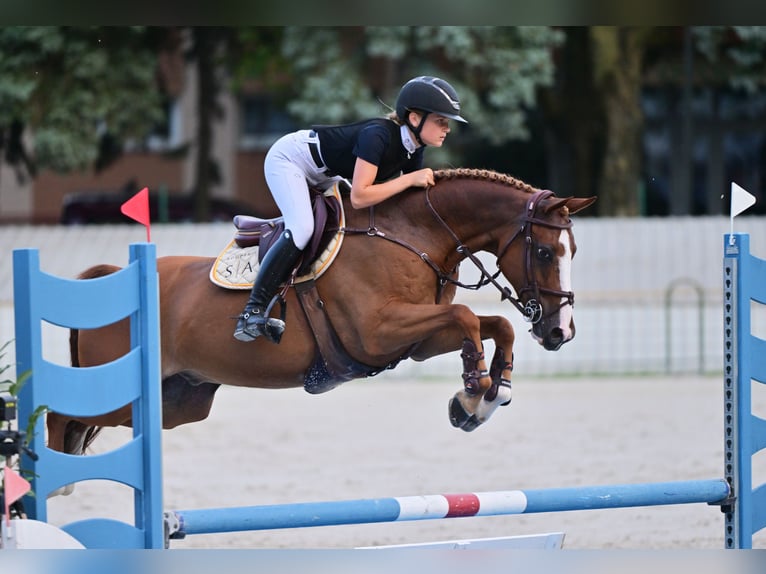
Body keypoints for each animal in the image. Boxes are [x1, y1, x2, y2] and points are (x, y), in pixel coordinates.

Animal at [51, 169, 596, 456]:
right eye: (544, 252)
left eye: (574, 250)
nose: (559, 332)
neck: (414, 234)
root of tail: (107, 276)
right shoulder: (378, 331)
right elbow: (465, 317)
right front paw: (473, 394)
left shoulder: (416, 340)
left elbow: (493, 325)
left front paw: (487, 395)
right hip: (116, 392)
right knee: (59, 416)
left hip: (178, 402)